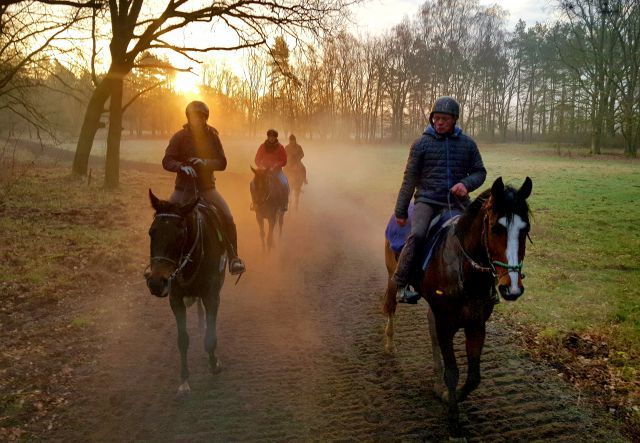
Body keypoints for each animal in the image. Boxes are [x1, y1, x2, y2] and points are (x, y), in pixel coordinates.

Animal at [145, 191, 228, 398]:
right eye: (151, 232)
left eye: (180, 235)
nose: (156, 282)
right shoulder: (175, 300)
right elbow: (182, 340)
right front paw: (184, 381)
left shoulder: (211, 296)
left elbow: (210, 337)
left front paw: (214, 364)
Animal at [382, 177, 532, 440]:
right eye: (496, 228)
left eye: (525, 230)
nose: (511, 288)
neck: (465, 270)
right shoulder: (446, 324)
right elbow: (453, 372)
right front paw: (453, 422)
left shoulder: (476, 325)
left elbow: (473, 378)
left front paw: (448, 396)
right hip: (393, 275)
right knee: (390, 305)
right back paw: (390, 344)